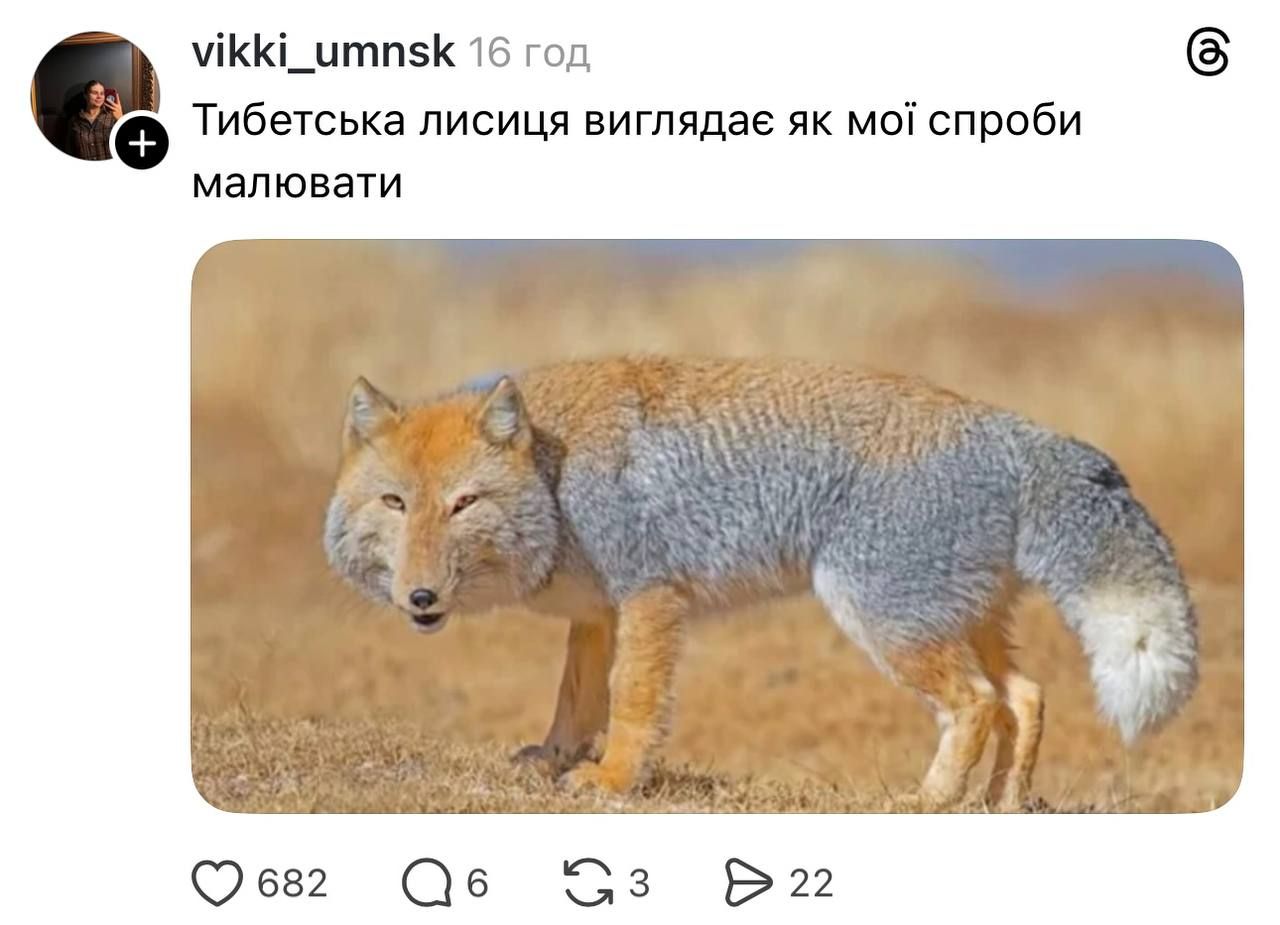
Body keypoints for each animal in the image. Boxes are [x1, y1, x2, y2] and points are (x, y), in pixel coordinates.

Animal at [322, 356, 1198, 808]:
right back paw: (999, 803)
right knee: (1027, 695)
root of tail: (1017, 431)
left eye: (464, 504)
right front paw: (554, 759)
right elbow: (575, 698)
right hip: (955, 619)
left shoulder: (650, 594)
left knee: (980, 702)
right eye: (396, 504)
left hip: (882, 617)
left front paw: (613, 779)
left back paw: (930, 799)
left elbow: (632, 702)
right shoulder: (598, 611)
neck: (553, 471)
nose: (420, 598)